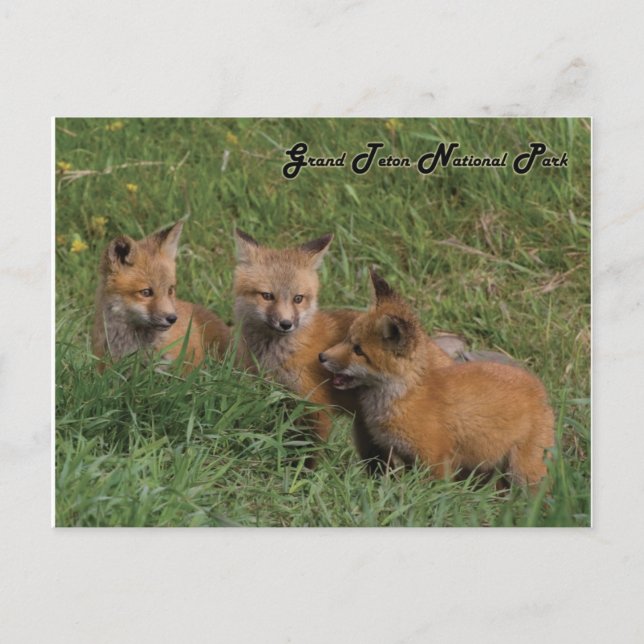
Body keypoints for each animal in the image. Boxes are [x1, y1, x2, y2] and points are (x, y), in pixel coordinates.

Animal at [319, 268, 554, 486]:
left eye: (358, 350)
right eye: (347, 339)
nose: (321, 356)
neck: (403, 397)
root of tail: (539, 387)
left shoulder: (434, 460)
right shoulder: (404, 456)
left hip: (523, 473)